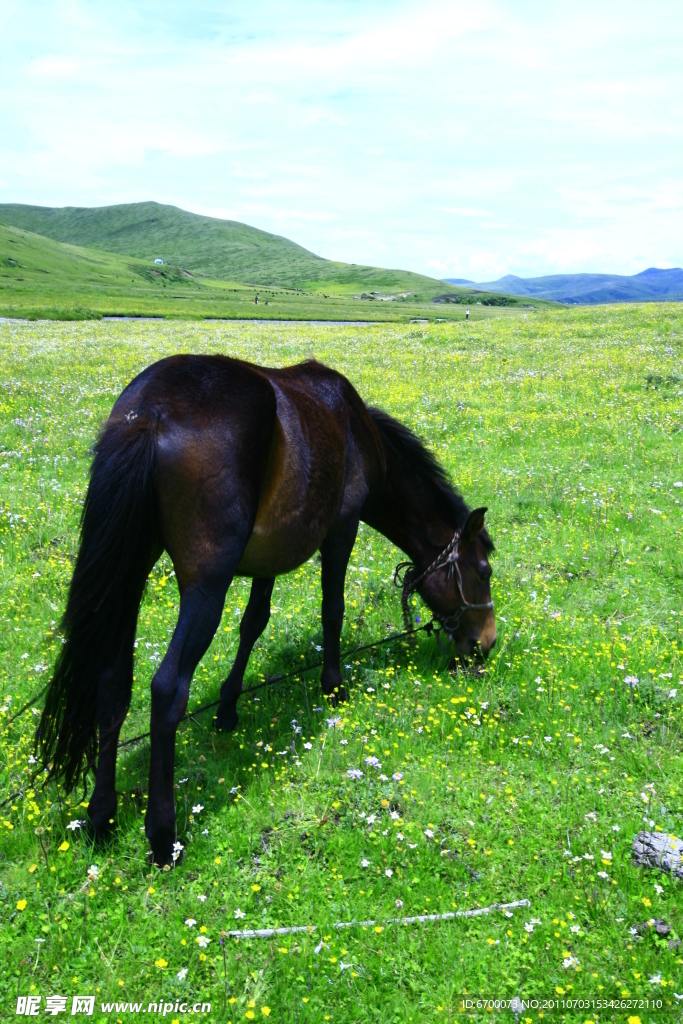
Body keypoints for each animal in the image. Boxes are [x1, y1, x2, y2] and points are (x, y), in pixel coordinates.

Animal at [36, 352, 497, 864]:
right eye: (483, 571)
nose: (486, 643)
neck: (357, 430)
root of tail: (151, 410)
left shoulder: (268, 555)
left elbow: (253, 624)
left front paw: (228, 707)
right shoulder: (342, 529)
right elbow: (332, 610)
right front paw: (334, 687)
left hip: (131, 572)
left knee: (113, 680)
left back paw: (101, 818)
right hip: (206, 586)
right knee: (167, 689)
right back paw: (161, 835)